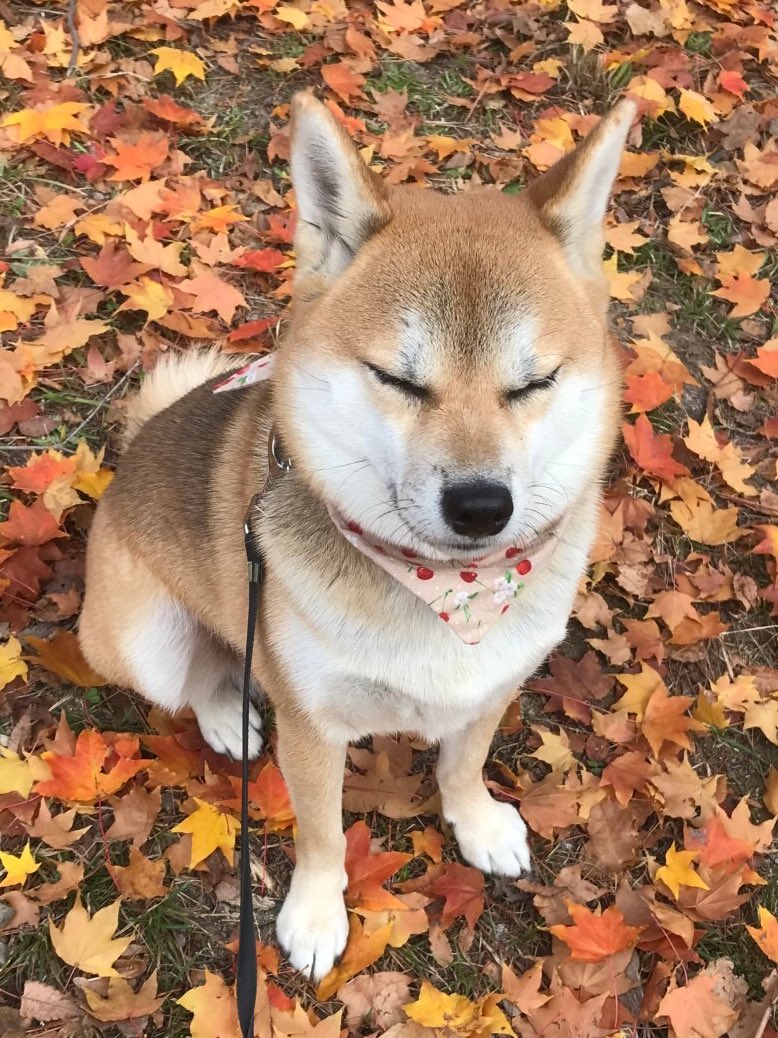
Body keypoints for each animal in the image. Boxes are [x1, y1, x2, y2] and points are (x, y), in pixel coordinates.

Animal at [79, 93, 638, 975]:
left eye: (533, 383)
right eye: (398, 380)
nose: (480, 506)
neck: (447, 592)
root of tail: (135, 451)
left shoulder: (494, 685)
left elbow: (464, 765)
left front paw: (477, 823)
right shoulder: (313, 727)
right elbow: (322, 836)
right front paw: (315, 916)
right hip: (146, 637)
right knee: (197, 676)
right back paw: (227, 715)